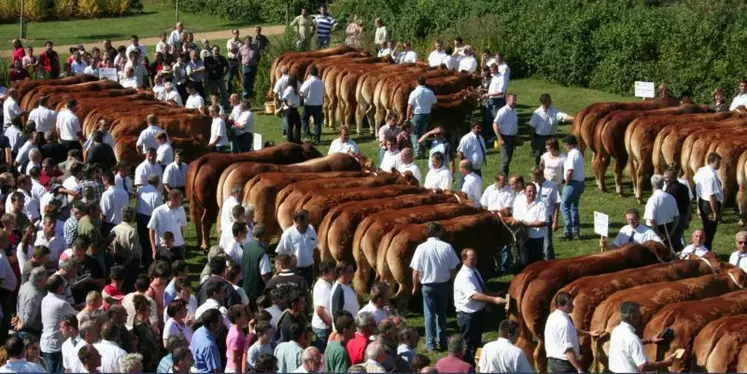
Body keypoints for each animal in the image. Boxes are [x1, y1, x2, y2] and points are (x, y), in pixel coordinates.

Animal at [186, 142, 322, 250]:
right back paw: (205, 245)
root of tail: (206, 158)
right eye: (313, 151)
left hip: (199, 205)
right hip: (210, 207)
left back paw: (200, 243)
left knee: (198, 220)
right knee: (205, 221)